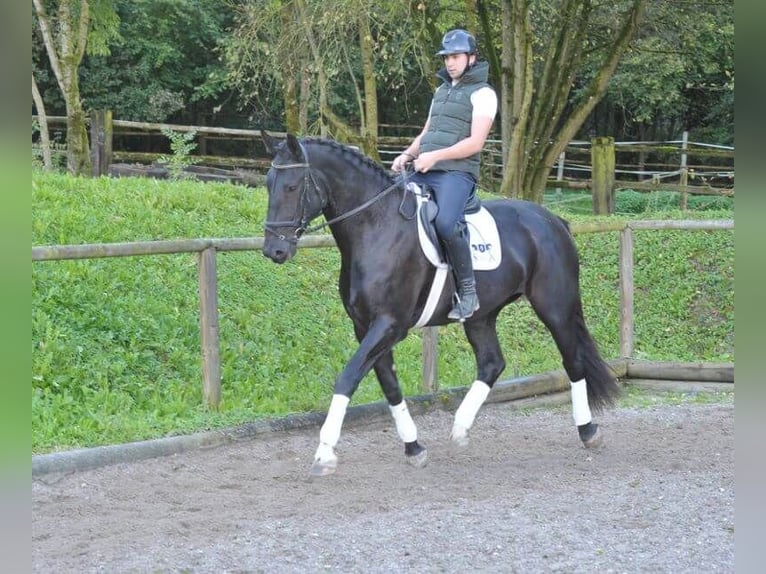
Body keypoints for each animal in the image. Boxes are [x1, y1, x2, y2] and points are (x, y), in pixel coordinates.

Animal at [260, 134, 620, 476]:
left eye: (292, 186)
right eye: (268, 184)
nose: (274, 251)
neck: (376, 227)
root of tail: (553, 220)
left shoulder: (389, 324)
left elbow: (348, 378)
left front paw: (324, 454)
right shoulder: (365, 326)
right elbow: (390, 385)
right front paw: (414, 448)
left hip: (555, 308)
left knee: (572, 361)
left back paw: (588, 431)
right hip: (481, 316)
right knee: (492, 363)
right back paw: (460, 429)